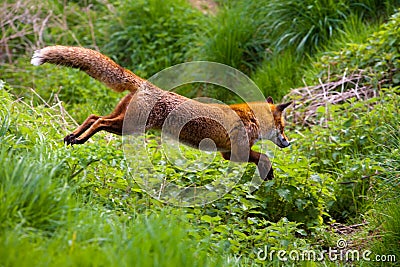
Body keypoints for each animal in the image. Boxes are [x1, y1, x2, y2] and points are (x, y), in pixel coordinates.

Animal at [31, 46, 292, 180]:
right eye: (283, 128)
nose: (288, 143)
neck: (251, 119)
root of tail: (147, 84)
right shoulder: (234, 152)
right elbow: (263, 156)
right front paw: (268, 171)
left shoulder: (227, 154)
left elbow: (259, 156)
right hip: (129, 127)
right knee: (99, 122)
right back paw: (79, 139)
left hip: (123, 121)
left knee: (93, 117)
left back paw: (72, 137)